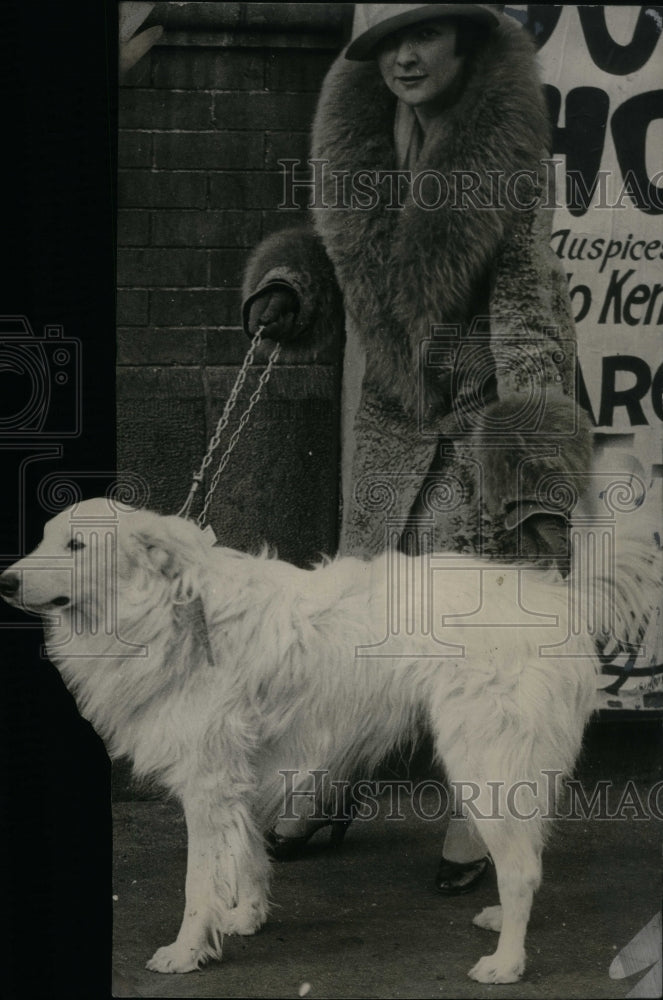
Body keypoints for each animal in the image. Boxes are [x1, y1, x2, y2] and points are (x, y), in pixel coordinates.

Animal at [1, 496, 660, 980]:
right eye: (45, 538)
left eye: (77, 546)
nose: (5, 582)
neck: (166, 606)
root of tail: (560, 597)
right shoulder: (242, 776)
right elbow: (249, 855)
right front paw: (247, 917)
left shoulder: (208, 784)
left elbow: (197, 883)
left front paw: (187, 952)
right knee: (529, 855)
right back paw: (502, 922)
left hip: (486, 763)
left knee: (521, 867)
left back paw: (507, 964)